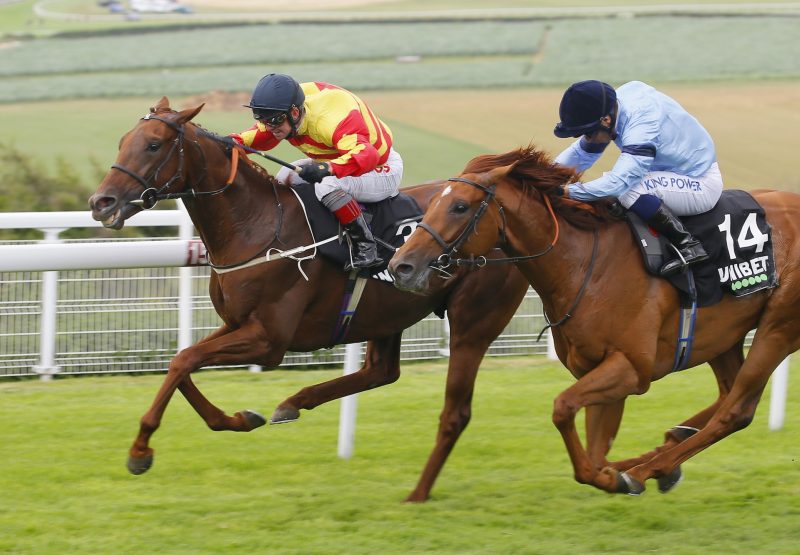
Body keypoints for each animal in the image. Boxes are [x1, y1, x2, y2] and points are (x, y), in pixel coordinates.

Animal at [87, 99, 532, 504]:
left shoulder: (269, 340)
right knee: (381, 372)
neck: (255, 225)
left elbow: (184, 361)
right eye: (124, 141)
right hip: (387, 313)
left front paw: (140, 450)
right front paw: (238, 419)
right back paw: (293, 403)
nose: (101, 202)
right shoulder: (237, 324)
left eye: (154, 145)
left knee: (448, 399)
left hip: (472, 321)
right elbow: (183, 361)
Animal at [390, 147, 800, 496]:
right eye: (434, 204)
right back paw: (666, 449)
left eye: (459, 206)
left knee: (737, 410)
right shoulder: (596, 370)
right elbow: (595, 451)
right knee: (728, 392)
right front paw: (614, 472)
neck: (585, 264)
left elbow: (563, 410)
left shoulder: (630, 368)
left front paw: (619, 477)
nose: (401, 266)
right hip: (724, 337)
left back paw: (649, 467)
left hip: (778, 327)